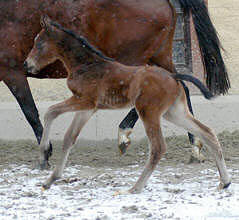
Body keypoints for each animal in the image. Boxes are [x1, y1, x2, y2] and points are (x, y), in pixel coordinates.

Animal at [0, 0, 230, 165]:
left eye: (39, 43)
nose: (28, 64)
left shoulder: (11, 71)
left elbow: (30, 112)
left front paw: (45, 153)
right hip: (159, 56)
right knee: (181, 86)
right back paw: (195, 146)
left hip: (134, 61)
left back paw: (124, 134)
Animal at [25, 16, 231, 193]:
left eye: (39, 43)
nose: (27, 65)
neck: (86, 65)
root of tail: (174, 76)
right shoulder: (87, 108)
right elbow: (69, 138)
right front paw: (50, 179)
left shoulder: (85, 100)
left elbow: (50, 112)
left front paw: (43, 153)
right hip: (174, 112)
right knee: (206, 132)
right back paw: (225, 181)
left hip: (148, 111)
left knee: (158, 147)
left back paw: (136, 187)